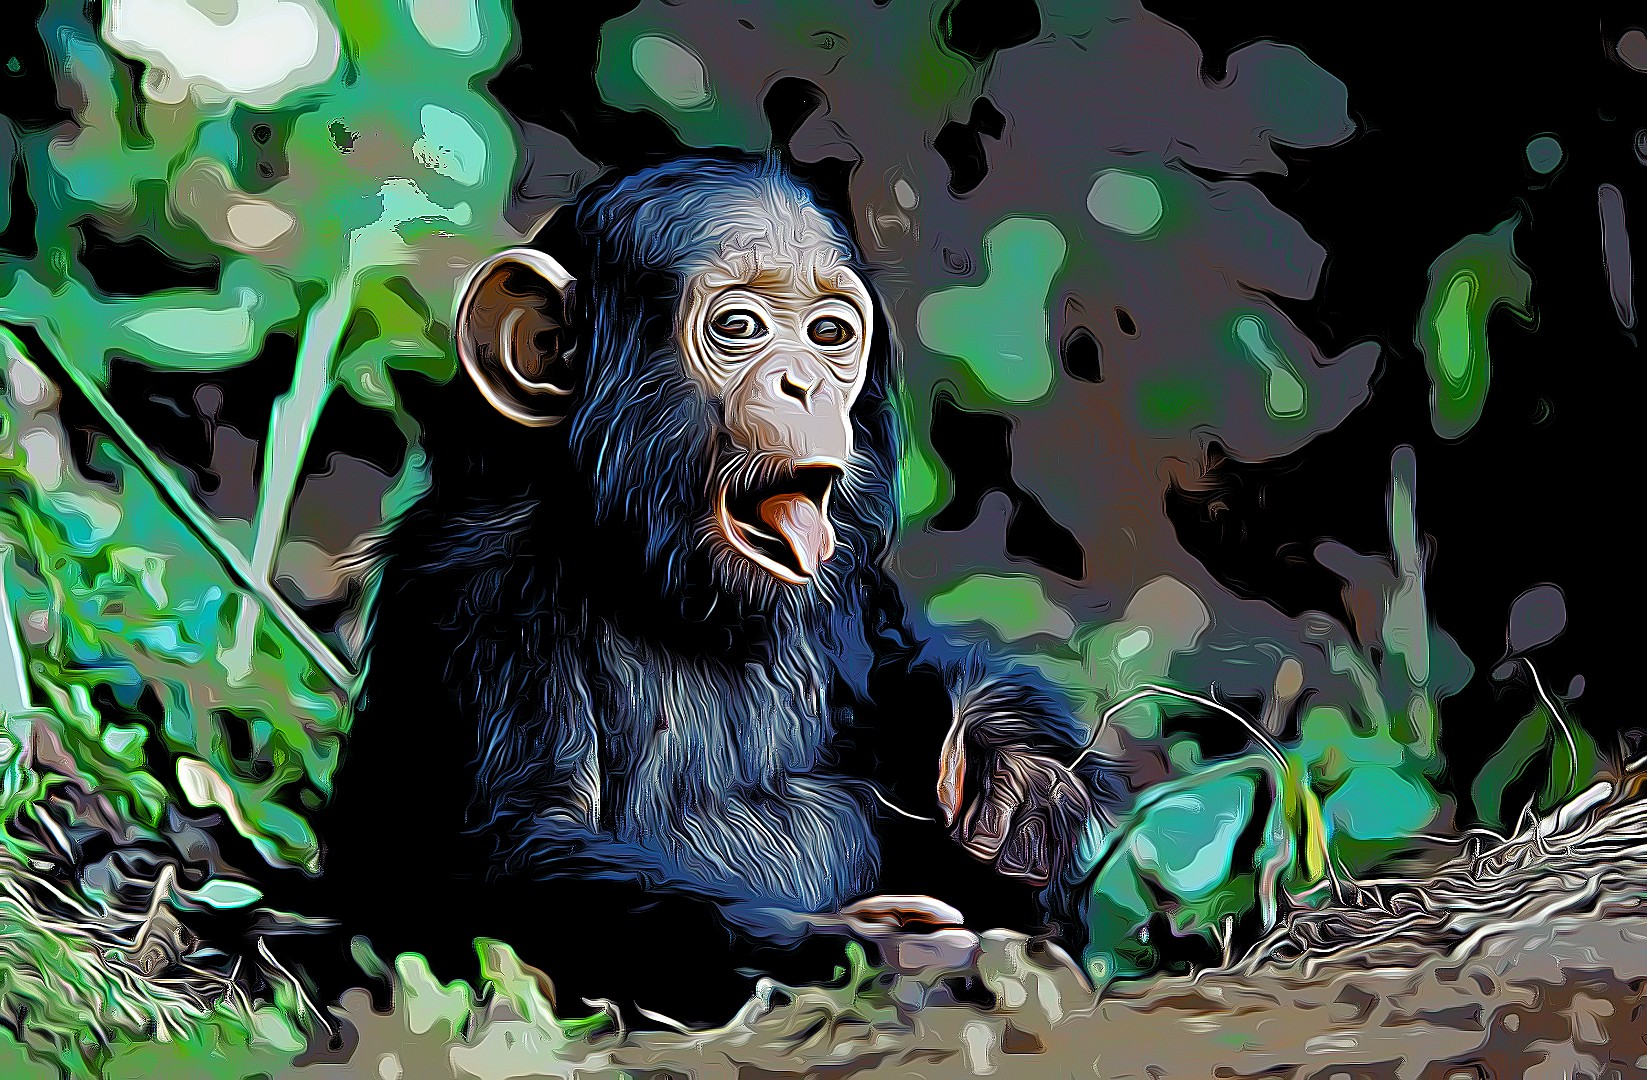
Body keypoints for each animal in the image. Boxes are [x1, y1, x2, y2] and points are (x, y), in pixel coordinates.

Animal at [309, 152, 1120, 1026]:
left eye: (829, 334)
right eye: (738, 328)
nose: (805, 383)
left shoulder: (852, 591)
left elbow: (897, 674)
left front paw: (1014, 771)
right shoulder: (481, 592)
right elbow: (506, 853)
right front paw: (887, 951)